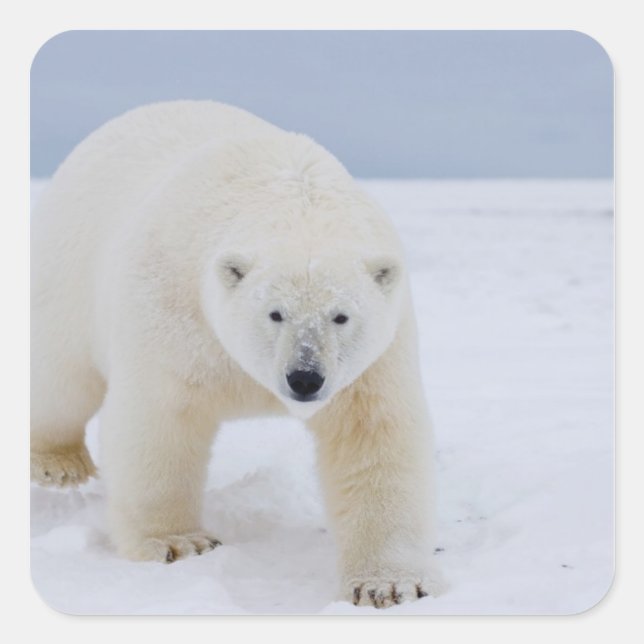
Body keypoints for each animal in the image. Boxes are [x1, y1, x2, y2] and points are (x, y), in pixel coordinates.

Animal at [30, 100, 443, 608]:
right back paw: (58, 464)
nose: (305, 378)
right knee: (61, 376)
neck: (293, 201)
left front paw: (389, 583)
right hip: (70, 269)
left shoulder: (376, 355)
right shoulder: (174, 311)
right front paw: (179, 542)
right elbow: (160, 419)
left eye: (341, 316)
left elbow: (375, 436)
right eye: (275, 313)